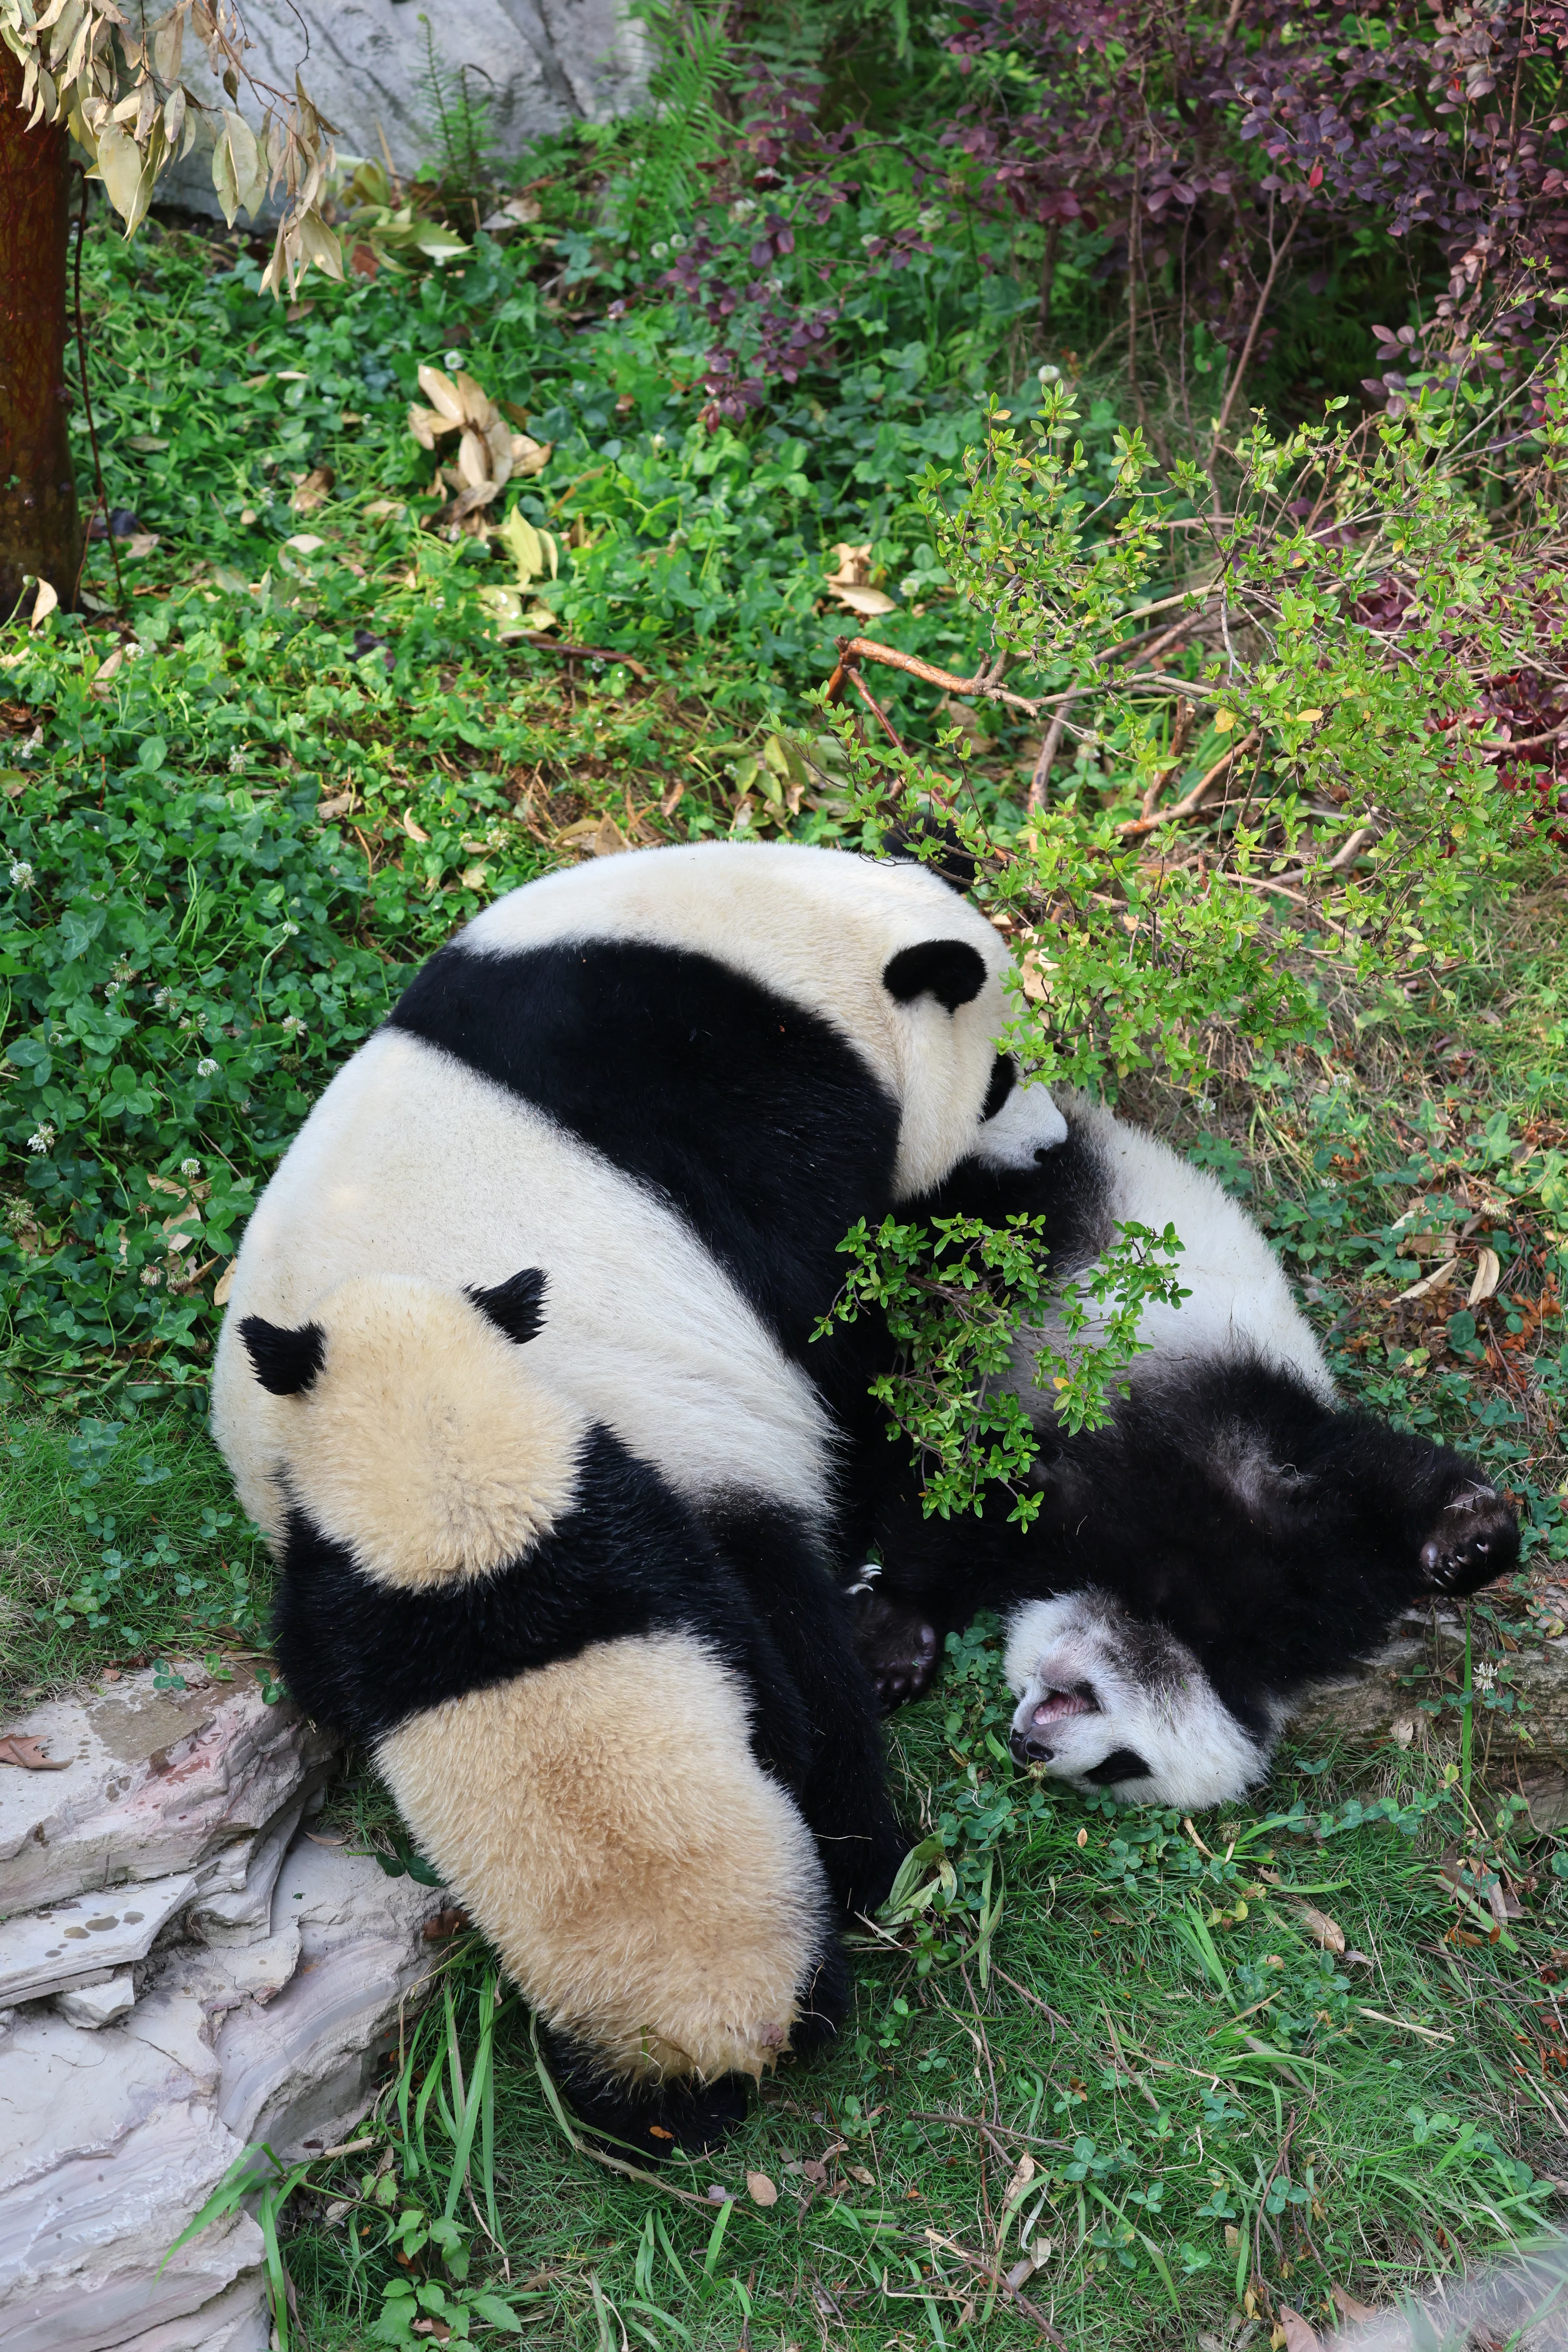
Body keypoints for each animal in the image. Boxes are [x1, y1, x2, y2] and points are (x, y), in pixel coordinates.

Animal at [211, 839, 1071, 2149]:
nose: (1054, 1149)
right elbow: (830, 1322)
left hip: (341, 1549)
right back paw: (861, 1823)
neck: (788, 943)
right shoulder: (761, 1115)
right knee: (782, 1648)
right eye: (1001, 1076)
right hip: (659, 1473)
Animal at [855, 1093, 1520, 1810]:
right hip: (1057, 1197)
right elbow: (1372, 1477)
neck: (1180, 1604)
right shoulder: (1235, 1457)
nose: (1026, 1746)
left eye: (1117, 1769)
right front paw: (1470, 1543)